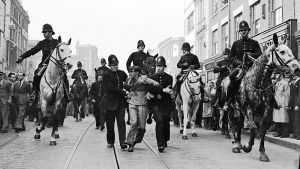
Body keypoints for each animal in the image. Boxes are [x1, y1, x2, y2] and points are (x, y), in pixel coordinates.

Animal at [224, 33, 298, 162]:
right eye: (282, 51)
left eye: (291, 50)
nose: (297, 68)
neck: (258, 83)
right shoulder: (248, 109)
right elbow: (253, 129)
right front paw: (247, 147)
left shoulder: (266, 110)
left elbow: (262, 130)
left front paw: (262, 153)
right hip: (231, 108)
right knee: (232, 124)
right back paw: (235, 145)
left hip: (241, 111)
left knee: (239, 125)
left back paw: (238, 143)